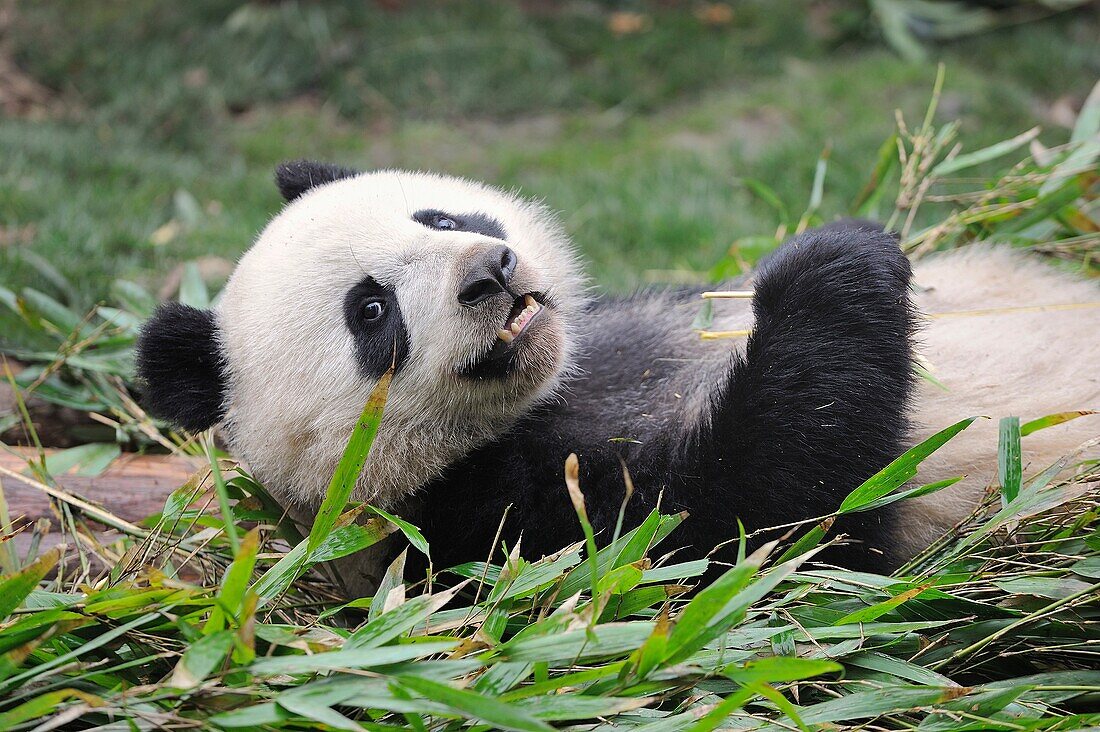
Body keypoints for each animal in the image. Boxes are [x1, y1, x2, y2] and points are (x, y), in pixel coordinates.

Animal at [139, 161, 1100, 594]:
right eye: (370, 311)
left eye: (439, 217)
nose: (489, 273)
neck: (544, 394)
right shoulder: (482, 526)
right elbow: (760, 529)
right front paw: (833, 265)